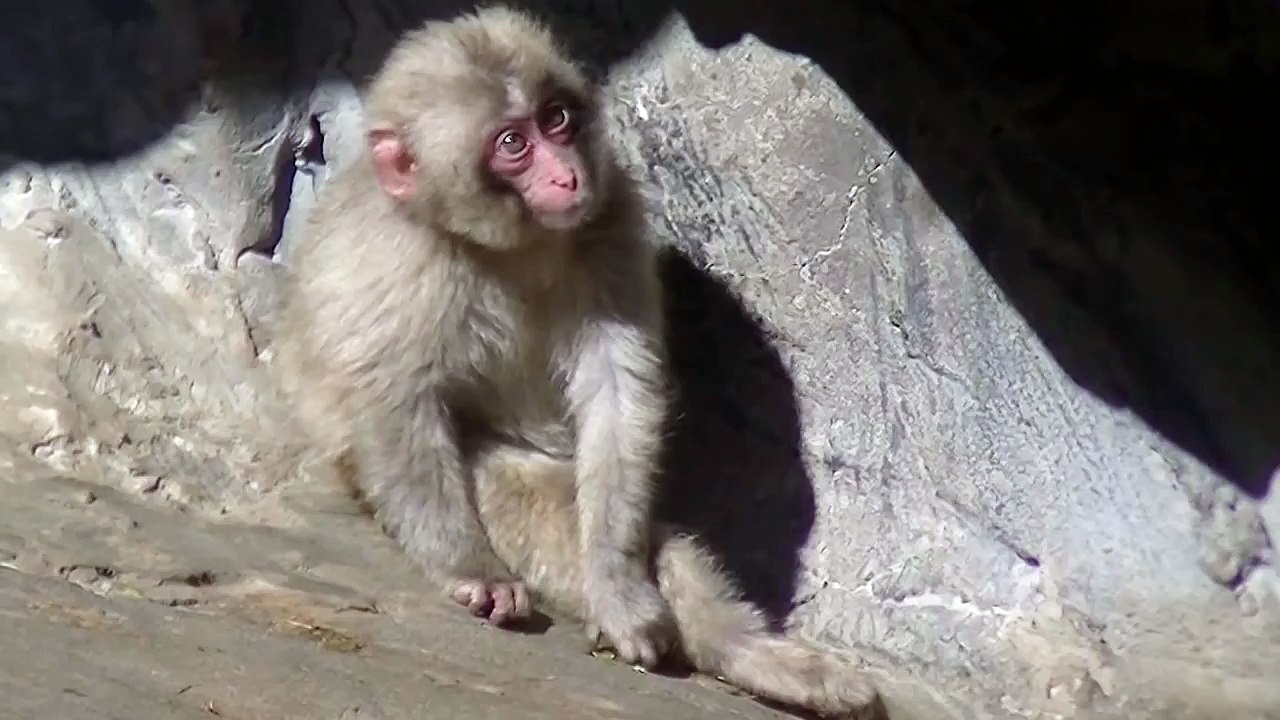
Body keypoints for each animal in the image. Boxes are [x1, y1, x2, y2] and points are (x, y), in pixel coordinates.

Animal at [274, 5, 879, 716]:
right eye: (513, 144)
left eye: (555, 118)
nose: (566, 174)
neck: (508, 244)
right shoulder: (398, 258)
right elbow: (394, 402)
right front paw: (470, 568)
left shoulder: (610, 218)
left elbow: (619, 393)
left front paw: (617, 589)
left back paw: (754, 656)